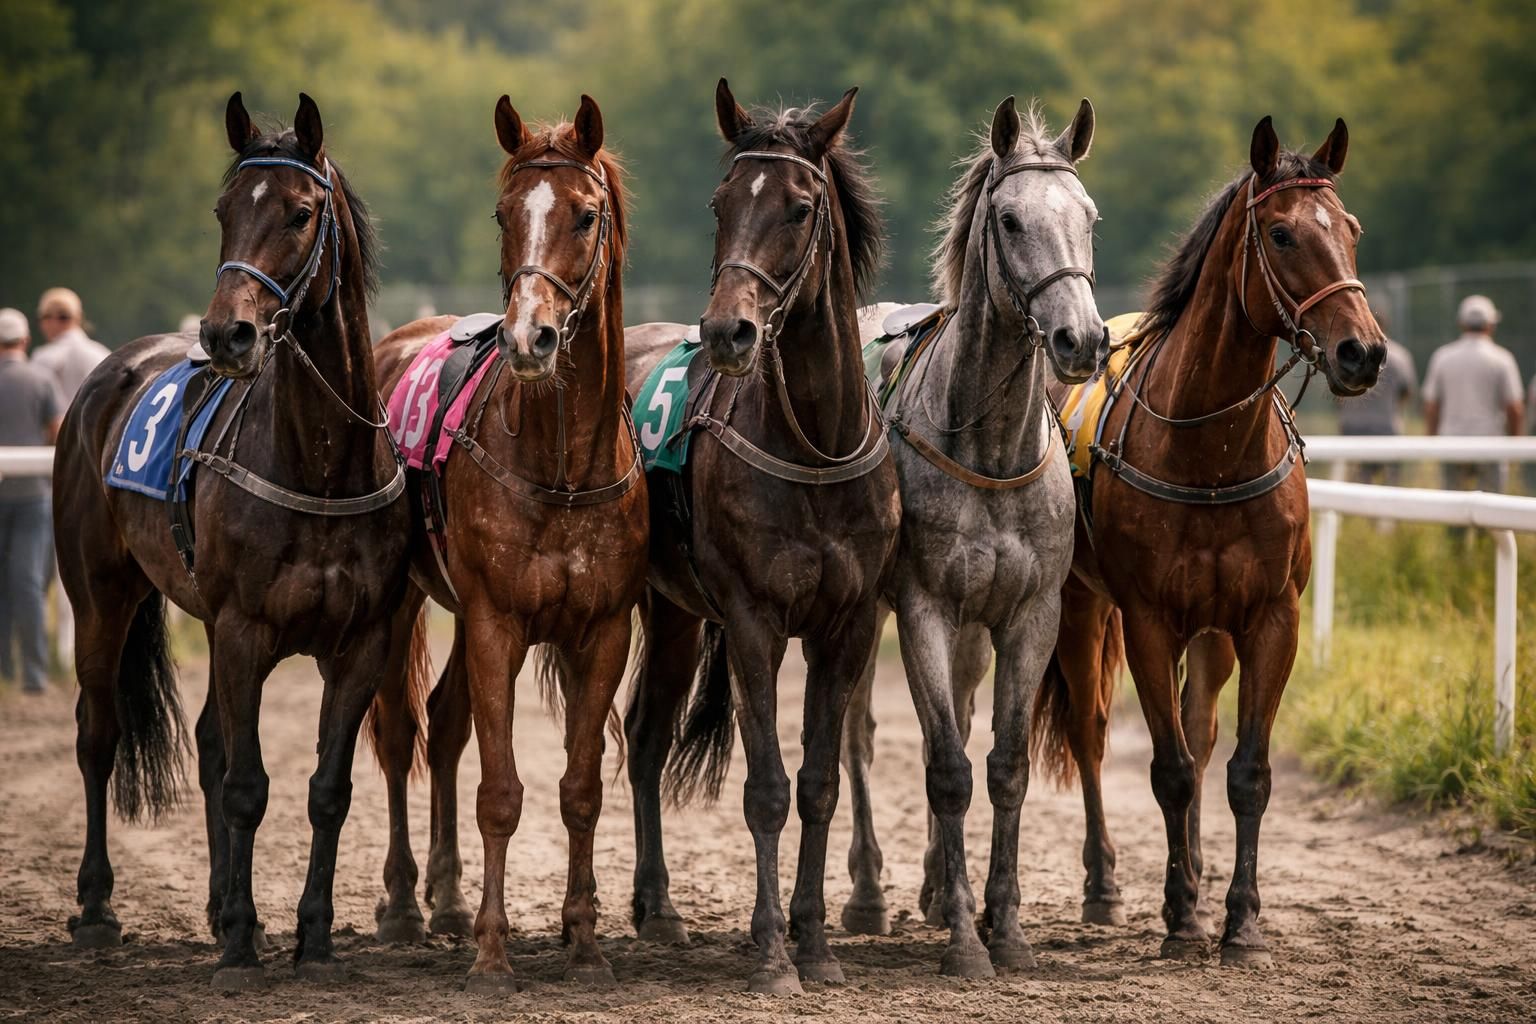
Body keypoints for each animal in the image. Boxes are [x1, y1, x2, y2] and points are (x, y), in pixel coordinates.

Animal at [52, 92, 411, 988]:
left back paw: (215, 908)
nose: (226, 336)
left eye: (300, 212)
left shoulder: (361, 641)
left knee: (210, 739)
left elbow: (327, 789)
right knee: (98, 735)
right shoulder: (245, 629)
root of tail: (106, 373)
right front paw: (247, 940)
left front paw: (311, 935)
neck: (321, 465)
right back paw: (98, 907)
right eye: (223, 211)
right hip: (100, 597)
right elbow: (248, 785)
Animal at [366, 95, 647, 991]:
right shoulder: (496, 622)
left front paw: (585, 942)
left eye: (585, 214)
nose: (530, 340)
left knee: (446, 721)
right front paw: (494, 952)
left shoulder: (603, 631)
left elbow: (581, 789)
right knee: (402, 734)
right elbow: (500, 791)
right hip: (403, 601)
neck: (561, 467)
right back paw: (404, 904)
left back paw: (449, 902)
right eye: (502, 214)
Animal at [619, 80, 899, 995]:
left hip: (674, 612)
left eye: (800, 207)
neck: (814, 445)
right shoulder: (752, 620)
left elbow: (816, 783)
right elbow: (768, 788)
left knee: (644, 737)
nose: (726, 332)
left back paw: (659, 907)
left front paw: (814, 943)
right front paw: (774, 954)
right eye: (721, 203)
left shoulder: (849, 624)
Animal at [835, 97, 1108, 977]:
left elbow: (1005, 765)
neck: (986, 450)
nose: (1081, 341)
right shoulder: (923, 607)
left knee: (949, 706)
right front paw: (963, 938)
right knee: (859, 735)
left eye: (1089, 216)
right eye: (1011, 219)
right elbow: (947, 768)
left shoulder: (1029, 615)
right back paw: (869, 892)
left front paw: (1006, 927)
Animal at [1031, 116, 1385, 965]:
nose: (1363, 351)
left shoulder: (1269, 616)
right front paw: (1180, 917)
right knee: (1093, 731)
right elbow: (1170, 771)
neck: (1212, 452)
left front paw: (1242, 922)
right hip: (1082, 604)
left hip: (1214, 628)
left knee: (1199, 727)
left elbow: (1243, 771)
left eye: (1351, 229)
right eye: (1283, 233)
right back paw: (1105, 885)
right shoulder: (1150, 619)